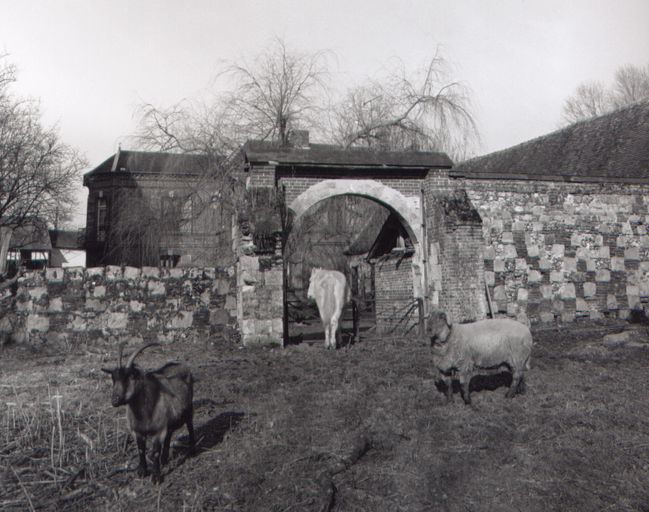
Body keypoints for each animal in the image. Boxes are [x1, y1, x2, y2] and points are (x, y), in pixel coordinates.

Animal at [101, 344, 195, 484]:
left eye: (131, 377)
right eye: (113, 378)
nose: (115, 400)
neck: (144, 414)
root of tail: (181, 363)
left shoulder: (159, 431)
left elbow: (155, 452)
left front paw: (156, 477)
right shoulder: (137, 431)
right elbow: (141, 449)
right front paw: (142, 471)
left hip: (189, 408)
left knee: (190, 425)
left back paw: (193, 449)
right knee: (169, 435)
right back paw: (164, 460)